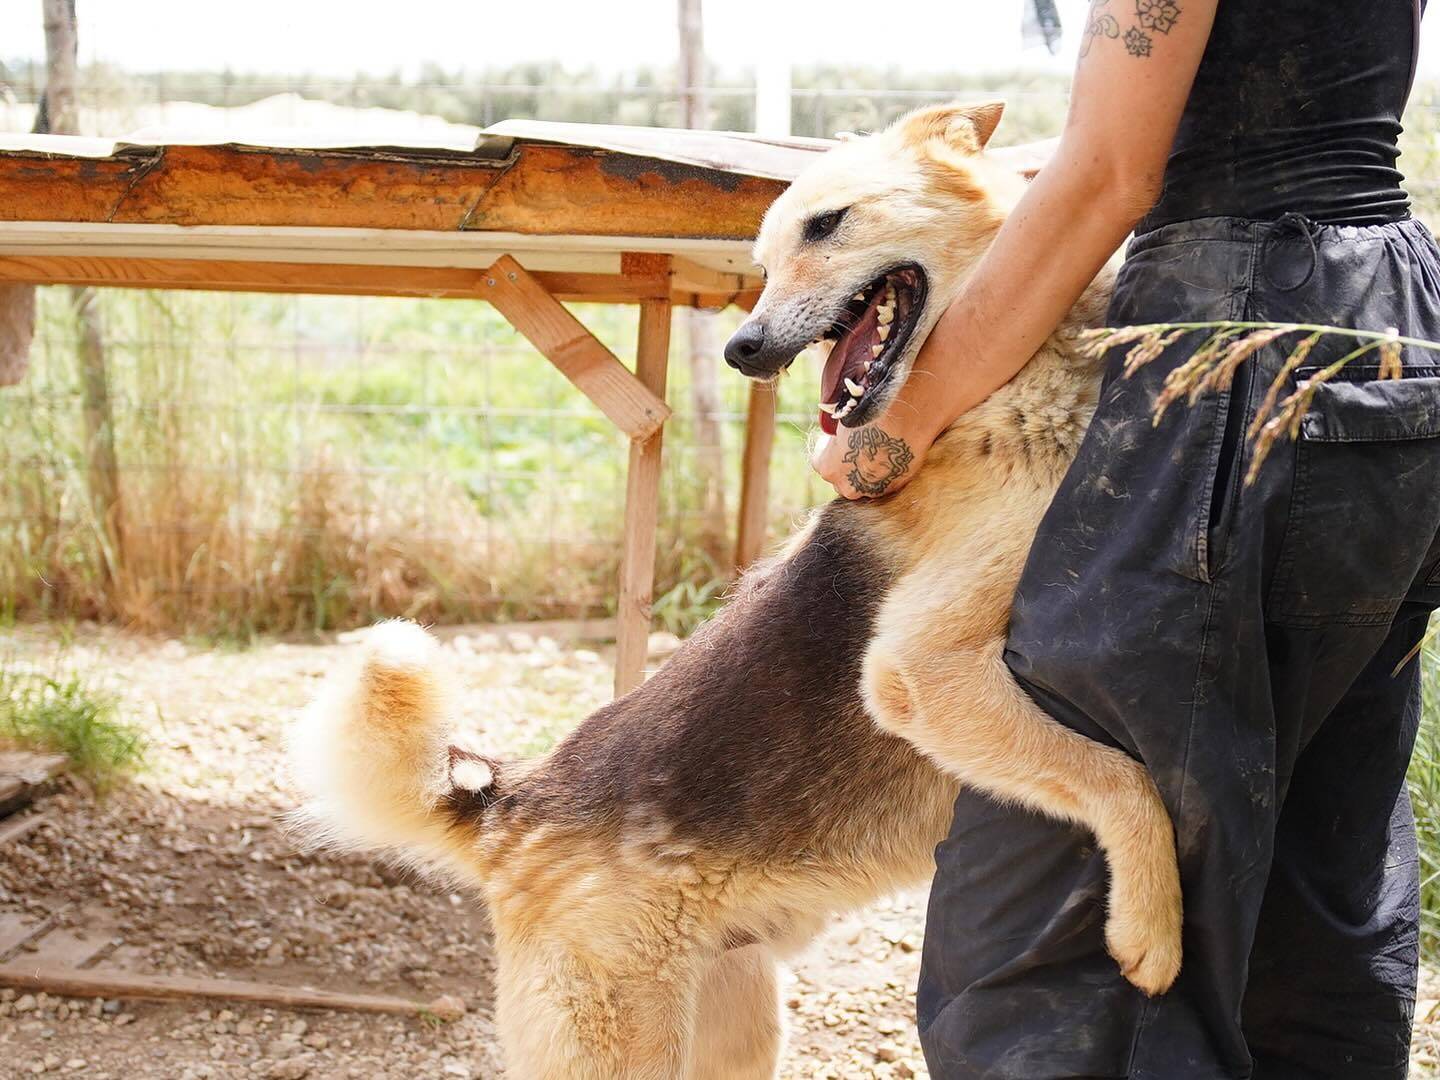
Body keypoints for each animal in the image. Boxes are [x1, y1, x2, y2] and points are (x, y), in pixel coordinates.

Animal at [289, 101, 1180, 1080]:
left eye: (825, 226)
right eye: (763, 260)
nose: (741, 350)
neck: (1007, 377)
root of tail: (513, 806)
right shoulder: (921, 672)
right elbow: (1121, 779)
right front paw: (1154, 924)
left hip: (738, 1022)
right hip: (628, 1043)